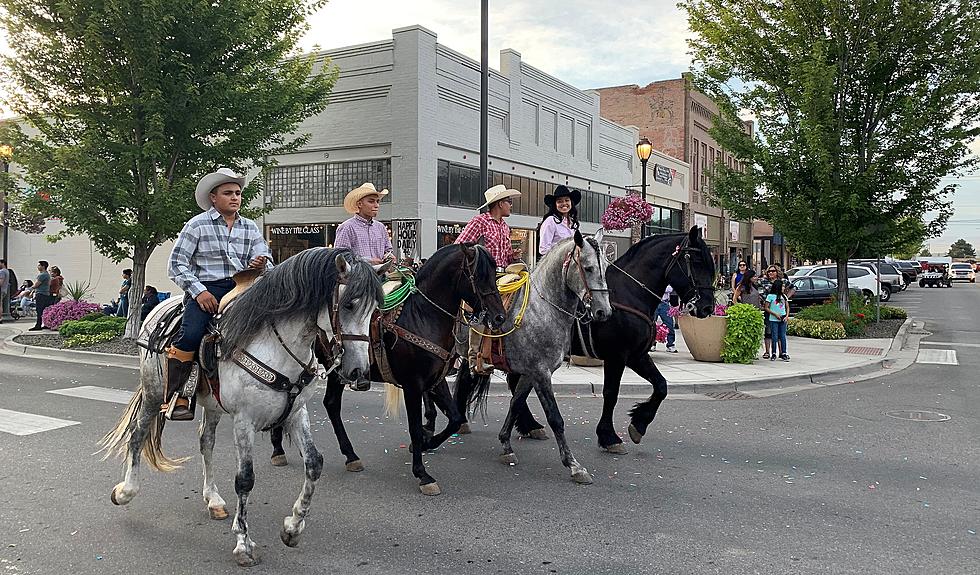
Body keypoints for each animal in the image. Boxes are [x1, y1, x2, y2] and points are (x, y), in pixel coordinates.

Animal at [100, 249, 382, 568]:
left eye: (375, 311)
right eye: (348, 304)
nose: (360, 373)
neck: (277, 344)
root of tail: (158, 308)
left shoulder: (296, 413)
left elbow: (314, 464)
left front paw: (292, 528)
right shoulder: (244, 421)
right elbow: (245, 480)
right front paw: (244, 544)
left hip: (212, 405)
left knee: (206, 442)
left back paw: (213, 500)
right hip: (153, 393)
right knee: (137, 435)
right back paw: (125, 491)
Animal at [274, 242, 510, 496]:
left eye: (495, 273)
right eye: (479, 276)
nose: (500, 317)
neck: (422, 316)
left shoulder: (436, 381)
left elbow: (455, 418)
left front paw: (427, 443)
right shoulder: (413, 385)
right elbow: (415, 427)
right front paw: (422, 474)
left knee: (328, 403)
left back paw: (349, 455)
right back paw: (279, 450)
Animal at [454, 226, 720, 454]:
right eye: (697, 262)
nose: (707, 307)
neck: (627, 295)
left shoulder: (636, 355)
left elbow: (661, 386)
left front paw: (638, 424)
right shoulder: (618, 356)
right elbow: (611, 393)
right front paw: (609, 436)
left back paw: (528, 426)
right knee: (471, 377)